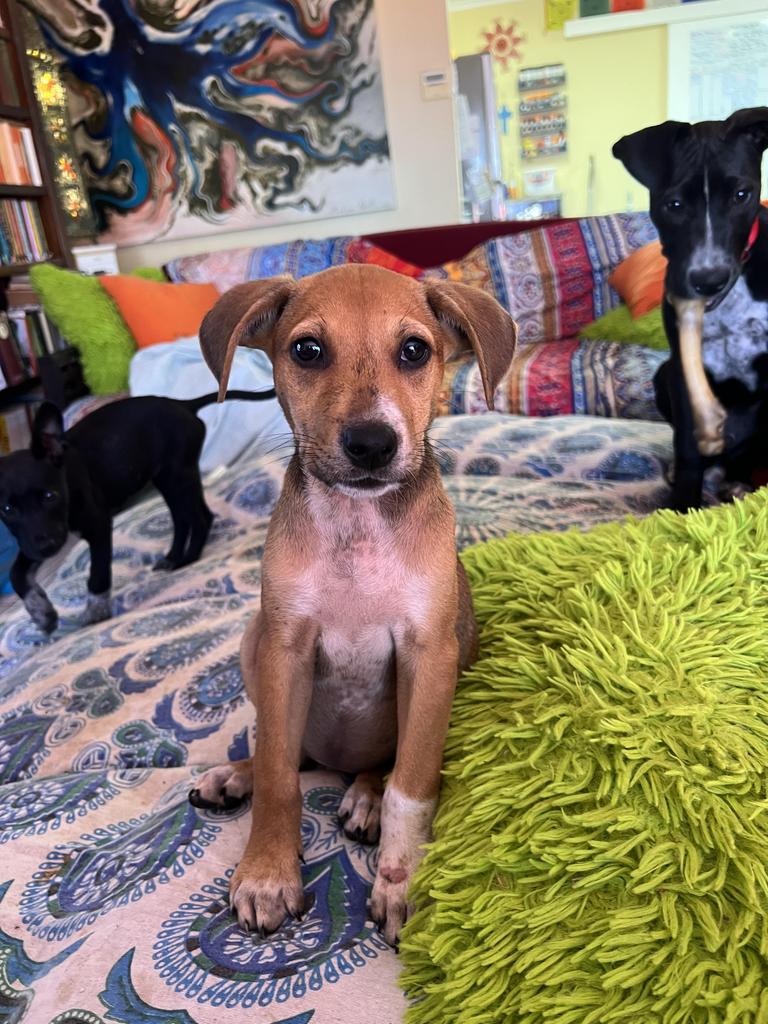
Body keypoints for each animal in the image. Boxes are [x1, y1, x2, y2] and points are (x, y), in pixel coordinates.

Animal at [0, 388, 275, 634]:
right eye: (7, 509)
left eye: (50, 496)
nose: (46, 549)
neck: (66, 478)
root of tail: (182, 404)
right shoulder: (31, 540)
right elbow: (16, 574)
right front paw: (42, 612)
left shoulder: (98, 526)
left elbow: (98, 573)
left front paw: (96, 612)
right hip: (166, 479)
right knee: (182, 519)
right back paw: (173, 557)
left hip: (178, 476)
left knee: (200, 517)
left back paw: (189, 558)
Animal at [188, 265, 517, 945]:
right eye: (307, 350)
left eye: (414, 350)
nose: (370, 443)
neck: (358, 529)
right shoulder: (285, 647)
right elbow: (281, 779)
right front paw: (267, 872)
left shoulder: (430, 656)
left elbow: (411, 786)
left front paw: (400, 881)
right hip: (252, 640)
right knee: (288, 752)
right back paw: (236, 774)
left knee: (376, 767)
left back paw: (363, 796)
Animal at [613, 107, 768, 511]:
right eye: (674, 205)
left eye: (742, 195)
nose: (709, 280)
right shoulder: (683, 369)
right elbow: (687, 448)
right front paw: (682, 507)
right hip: (663, 374)